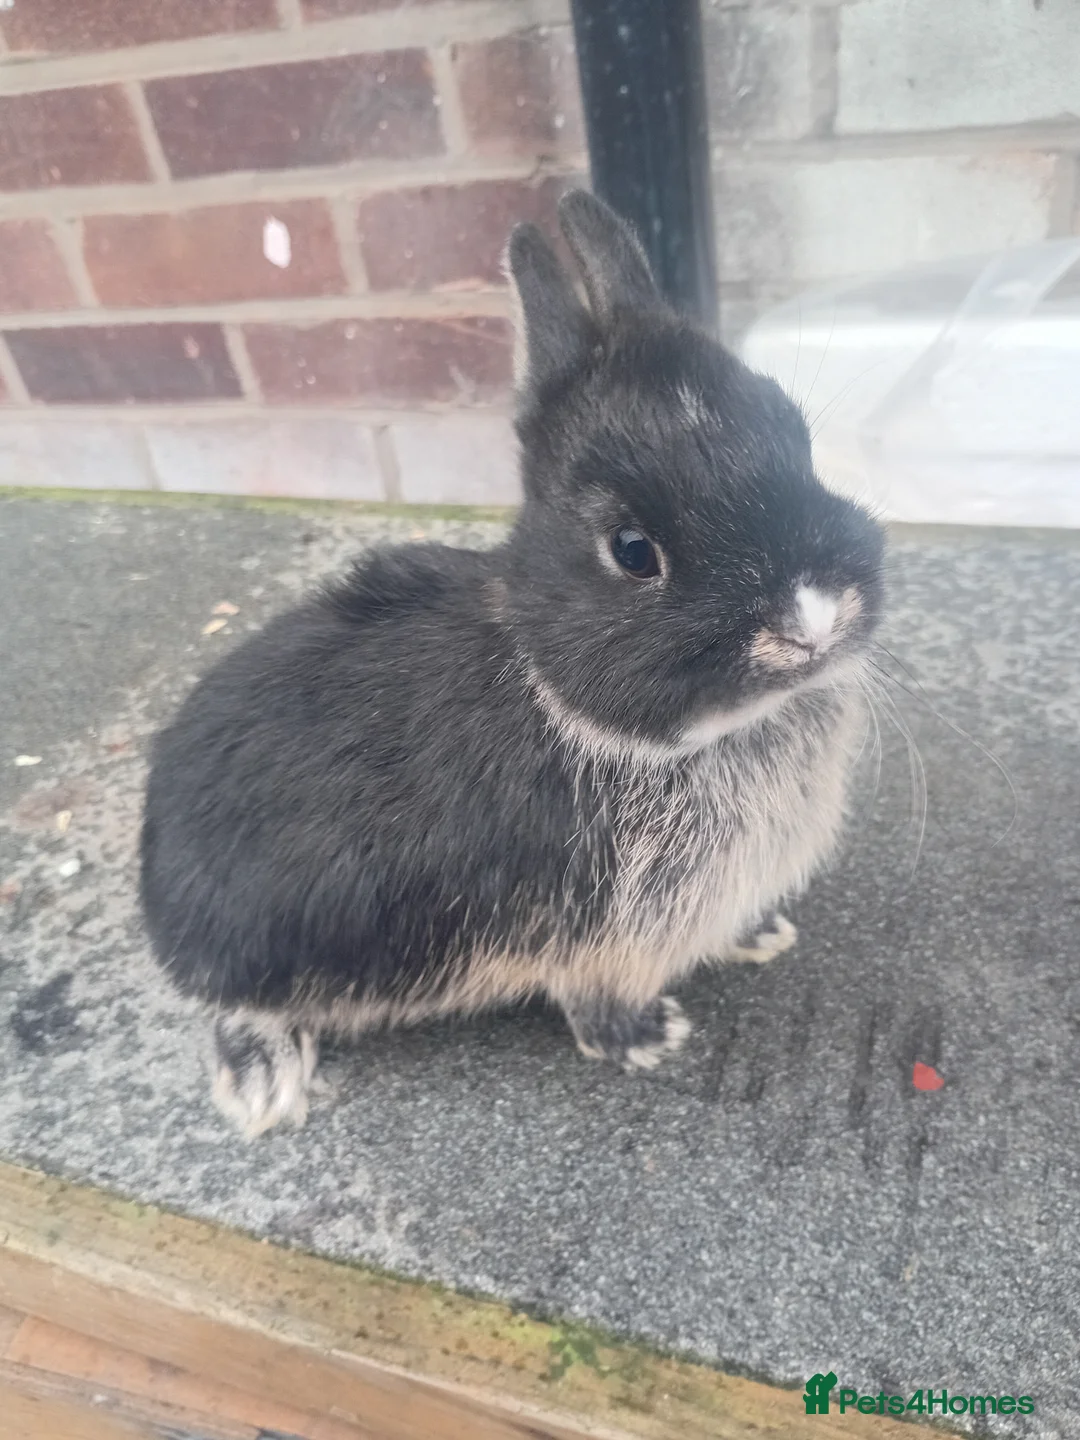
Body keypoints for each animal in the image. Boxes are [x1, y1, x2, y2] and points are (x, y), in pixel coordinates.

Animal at [140, 189, 885, 1137]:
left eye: (796, 436)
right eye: (632, 551)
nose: (814, 620)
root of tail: (154, 886)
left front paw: (764, 936)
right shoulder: (606, 938)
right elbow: (601, 1007)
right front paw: (653, 1040)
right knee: (237, 1008)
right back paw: (265, 1089)